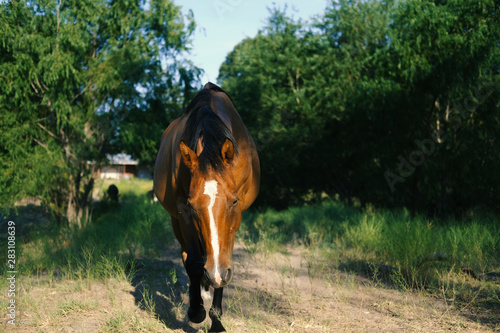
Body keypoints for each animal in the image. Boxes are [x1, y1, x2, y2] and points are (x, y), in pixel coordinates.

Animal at [154, 81, 260, 330]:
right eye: (193, 205)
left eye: (234, 201)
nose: (215, 274)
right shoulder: (183, 212)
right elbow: (194, 261)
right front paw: (196, 311)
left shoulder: (235, 218)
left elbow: (224, 258)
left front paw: (217, 321)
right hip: (176, 221)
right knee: (189, 255)